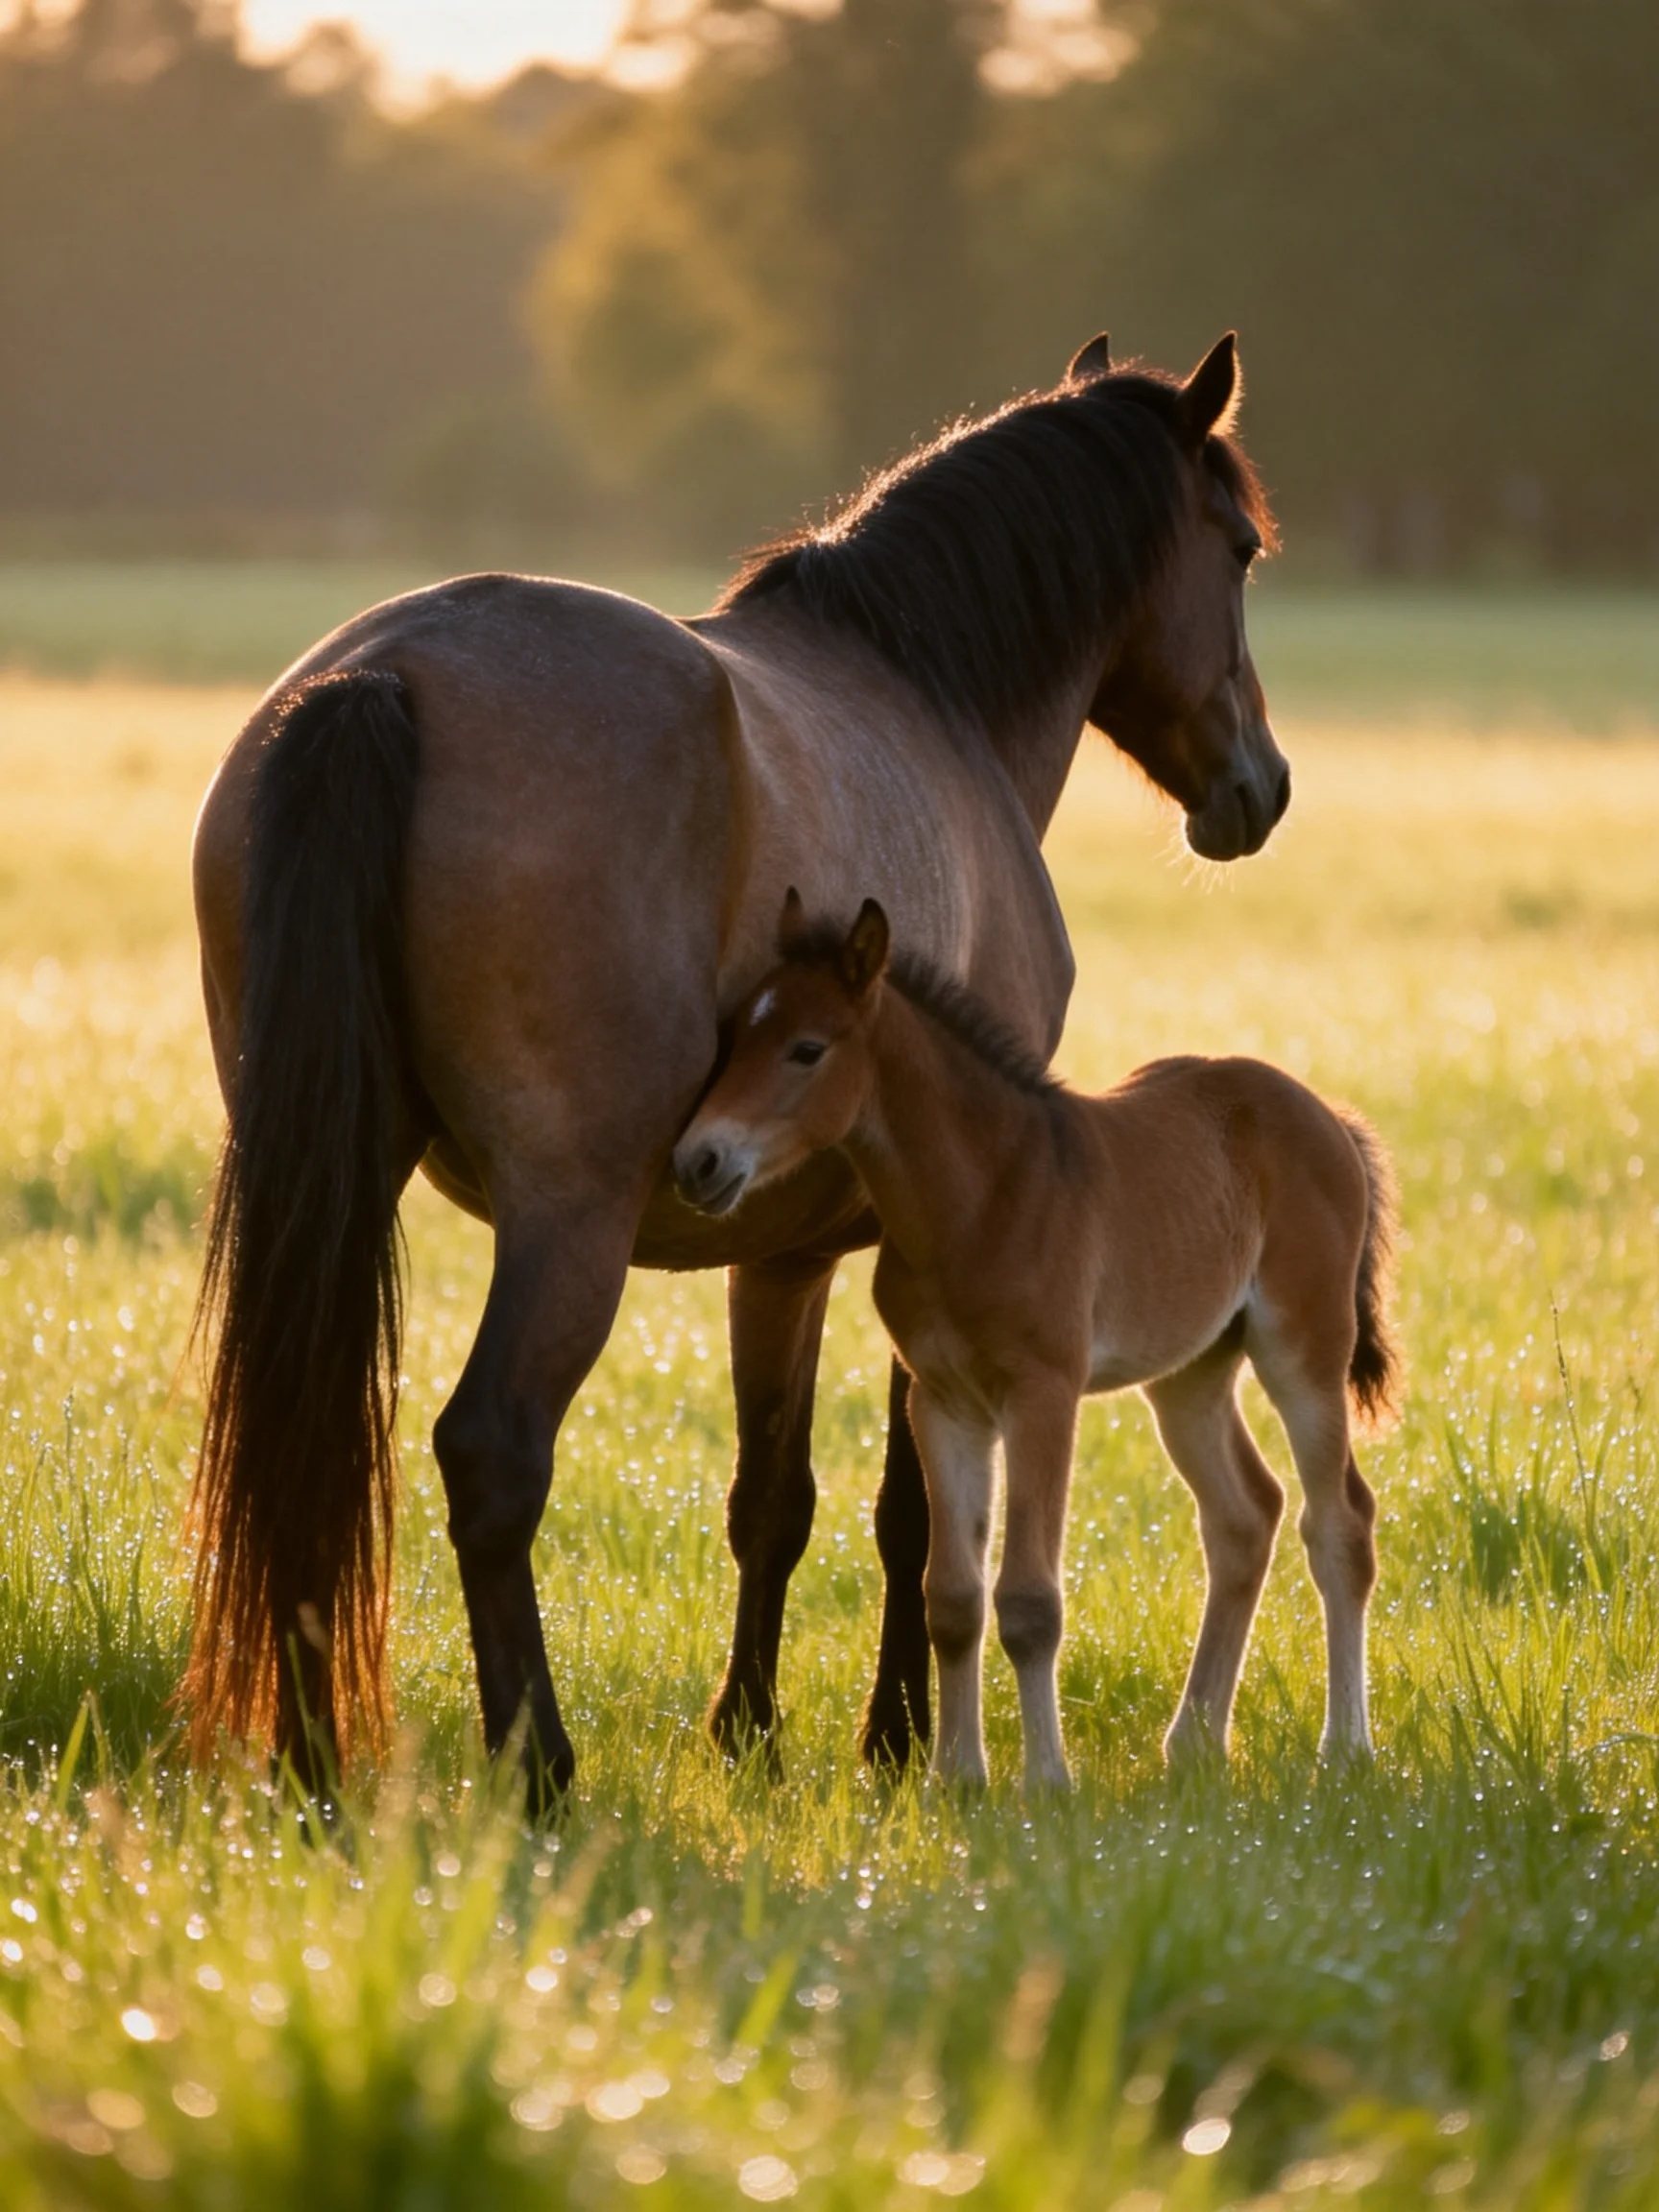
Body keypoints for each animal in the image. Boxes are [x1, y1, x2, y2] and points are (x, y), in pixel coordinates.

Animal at [187, 330, 1289, 1802]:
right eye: (1239, 548)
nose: (1261, 788)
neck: (930, 699)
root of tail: (387, 679)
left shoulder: (783, 1251)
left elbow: (775, 1495)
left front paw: (751, 1730)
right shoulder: (933, 1239)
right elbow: (915, 1509)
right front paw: (899, 1738)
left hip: (331, 1178)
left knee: (306, 1439)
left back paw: (310, 1768)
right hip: (568, 1217)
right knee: (491, 1453)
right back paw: (539, 1765)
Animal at [674, 896, 1397, 1788]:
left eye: (807, 1048)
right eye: (735, 1035)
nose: (698, 1161)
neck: (982, 1194)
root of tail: (1329, 1115)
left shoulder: (1043, 1394)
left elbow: (1028, 1601)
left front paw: (1047, 1781)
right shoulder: (943, 1401)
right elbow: (951, 1598)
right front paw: (955, 1779)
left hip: (1305, 1348)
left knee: (1340, 1524)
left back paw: (1345, 1748)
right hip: (1190, 1370)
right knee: (1245, 1516)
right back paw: (1192, 1741)